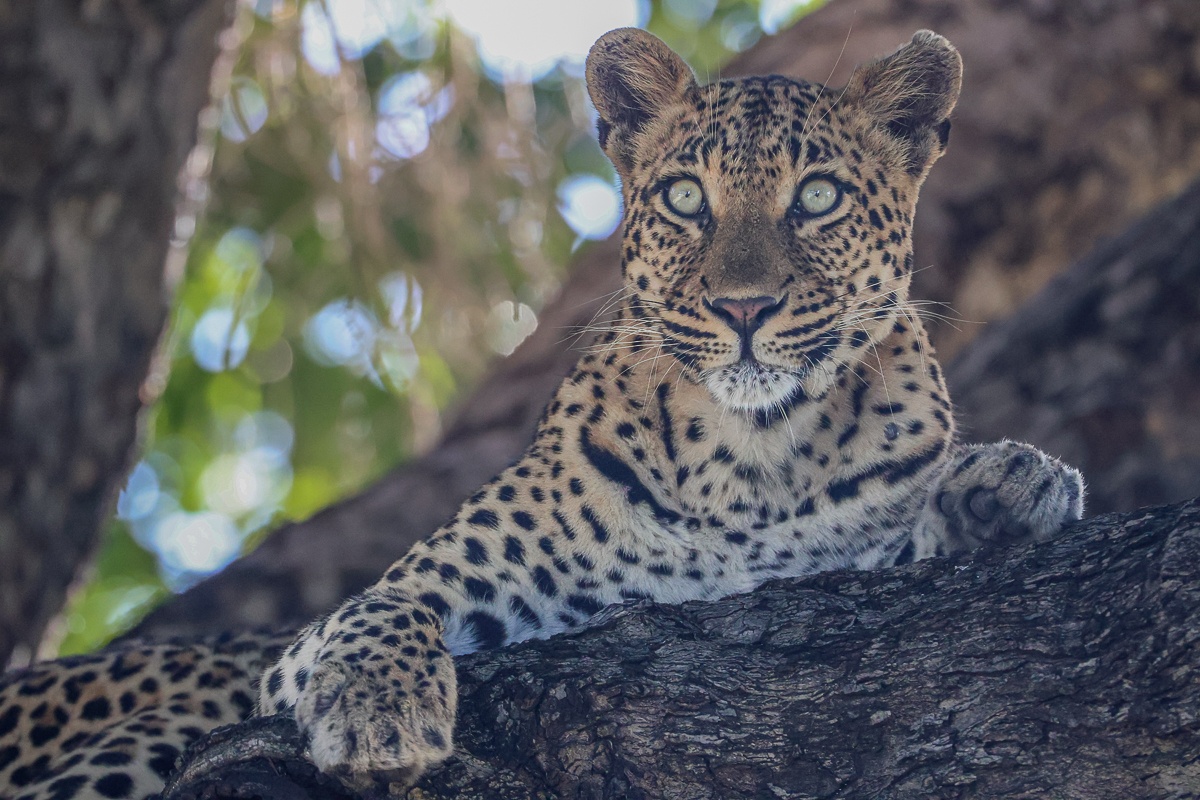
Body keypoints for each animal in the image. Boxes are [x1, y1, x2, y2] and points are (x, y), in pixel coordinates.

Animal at [0, 27, 1085, 800]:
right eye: (684, 197)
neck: (752, 454)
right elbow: (376, 608)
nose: (742, 309)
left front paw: (1007, 483)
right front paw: (379, 711)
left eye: (817, 197)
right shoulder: (403, 600)